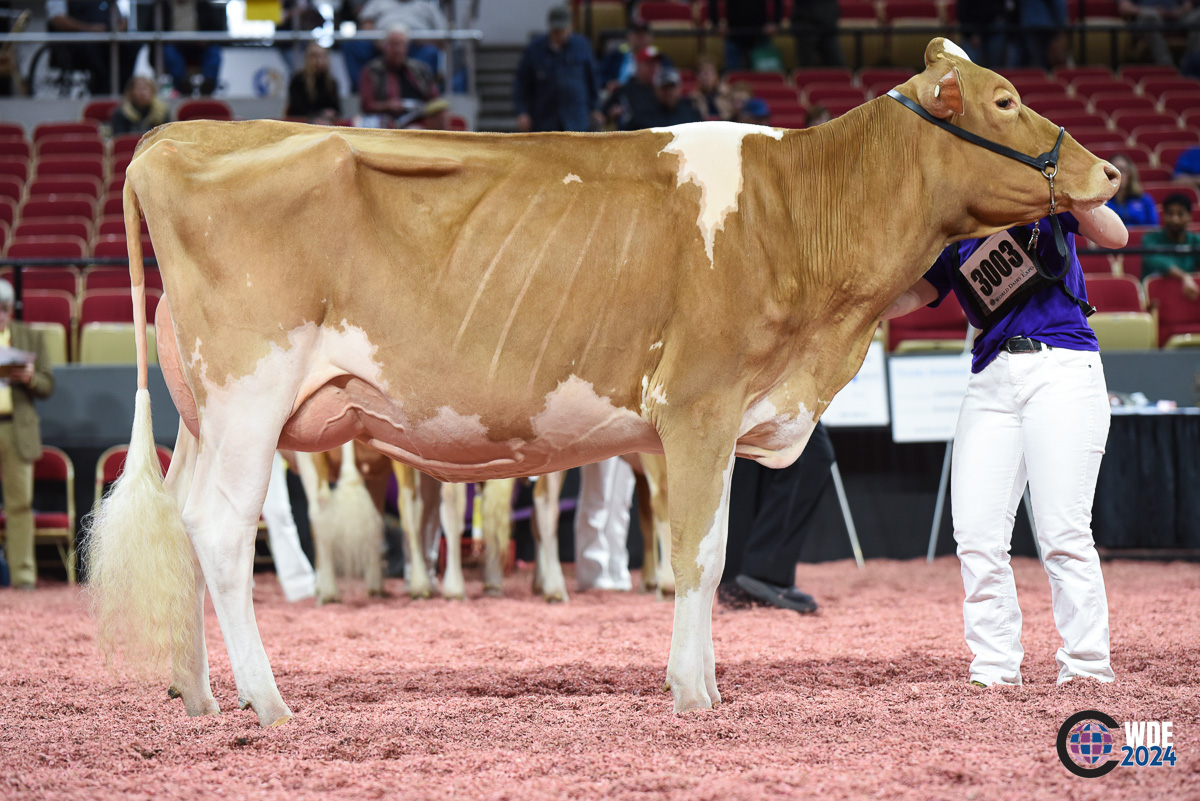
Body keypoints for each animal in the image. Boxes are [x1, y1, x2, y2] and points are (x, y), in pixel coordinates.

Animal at [85, 39, 1120, 727]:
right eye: (1003, 101)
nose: (1109, 171)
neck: (798, 217)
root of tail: (174, 141)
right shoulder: (698, 404)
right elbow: (696, 553)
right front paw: (695, 693)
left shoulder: (717, 419)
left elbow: (704, 548)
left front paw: (702, 681)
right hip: (250, 395)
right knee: (223, 529)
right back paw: (267, 700)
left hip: (205, 410)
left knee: (181, 520)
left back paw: (198, 692)